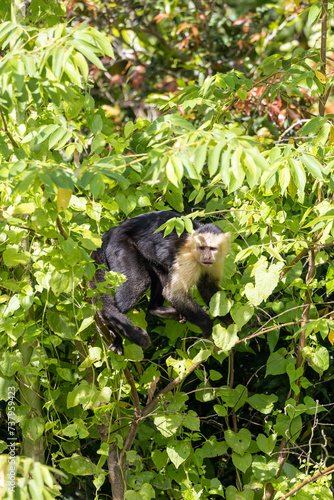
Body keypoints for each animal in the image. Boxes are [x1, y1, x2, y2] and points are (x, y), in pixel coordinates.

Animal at [89, 211, 230, 352]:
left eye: (212, 248)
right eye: (202, 247)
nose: (206, 257)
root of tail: (112, 231)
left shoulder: (218, 260)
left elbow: (208, 287)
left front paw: (230, 324)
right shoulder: (188, 257)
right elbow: (173, 294)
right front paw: (207, 325)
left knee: (161, 275)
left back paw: (156, 309)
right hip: (120, 245)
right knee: (138, 282)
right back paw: (109, 323)